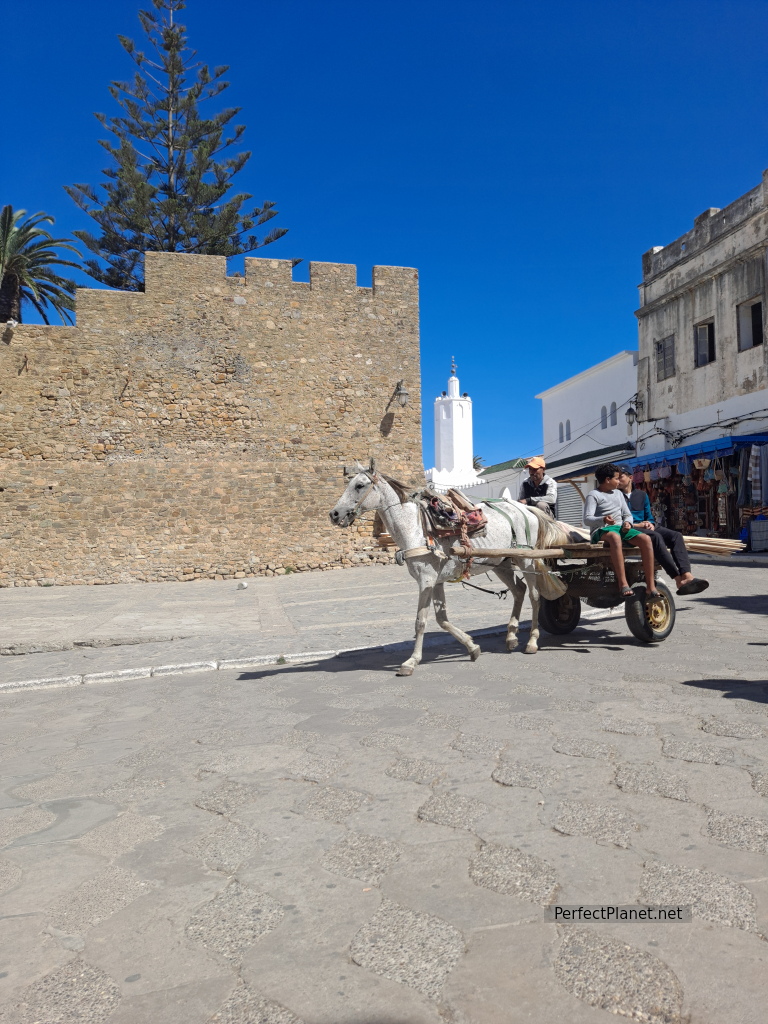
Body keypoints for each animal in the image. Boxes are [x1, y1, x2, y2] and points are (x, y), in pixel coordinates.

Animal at [327, 462, 581, 671]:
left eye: (359, 485)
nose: (334, 514)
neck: (417, 530)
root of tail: (526, 509)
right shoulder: (436, 581)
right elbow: (442, 619)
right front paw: (472, 647)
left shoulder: (426, 580)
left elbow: (421, 621)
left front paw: (411, 661)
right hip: (501, 563)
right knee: (519, 591)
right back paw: (511, 638)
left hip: (526, 559)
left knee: (535, 596)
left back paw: (532, 641)